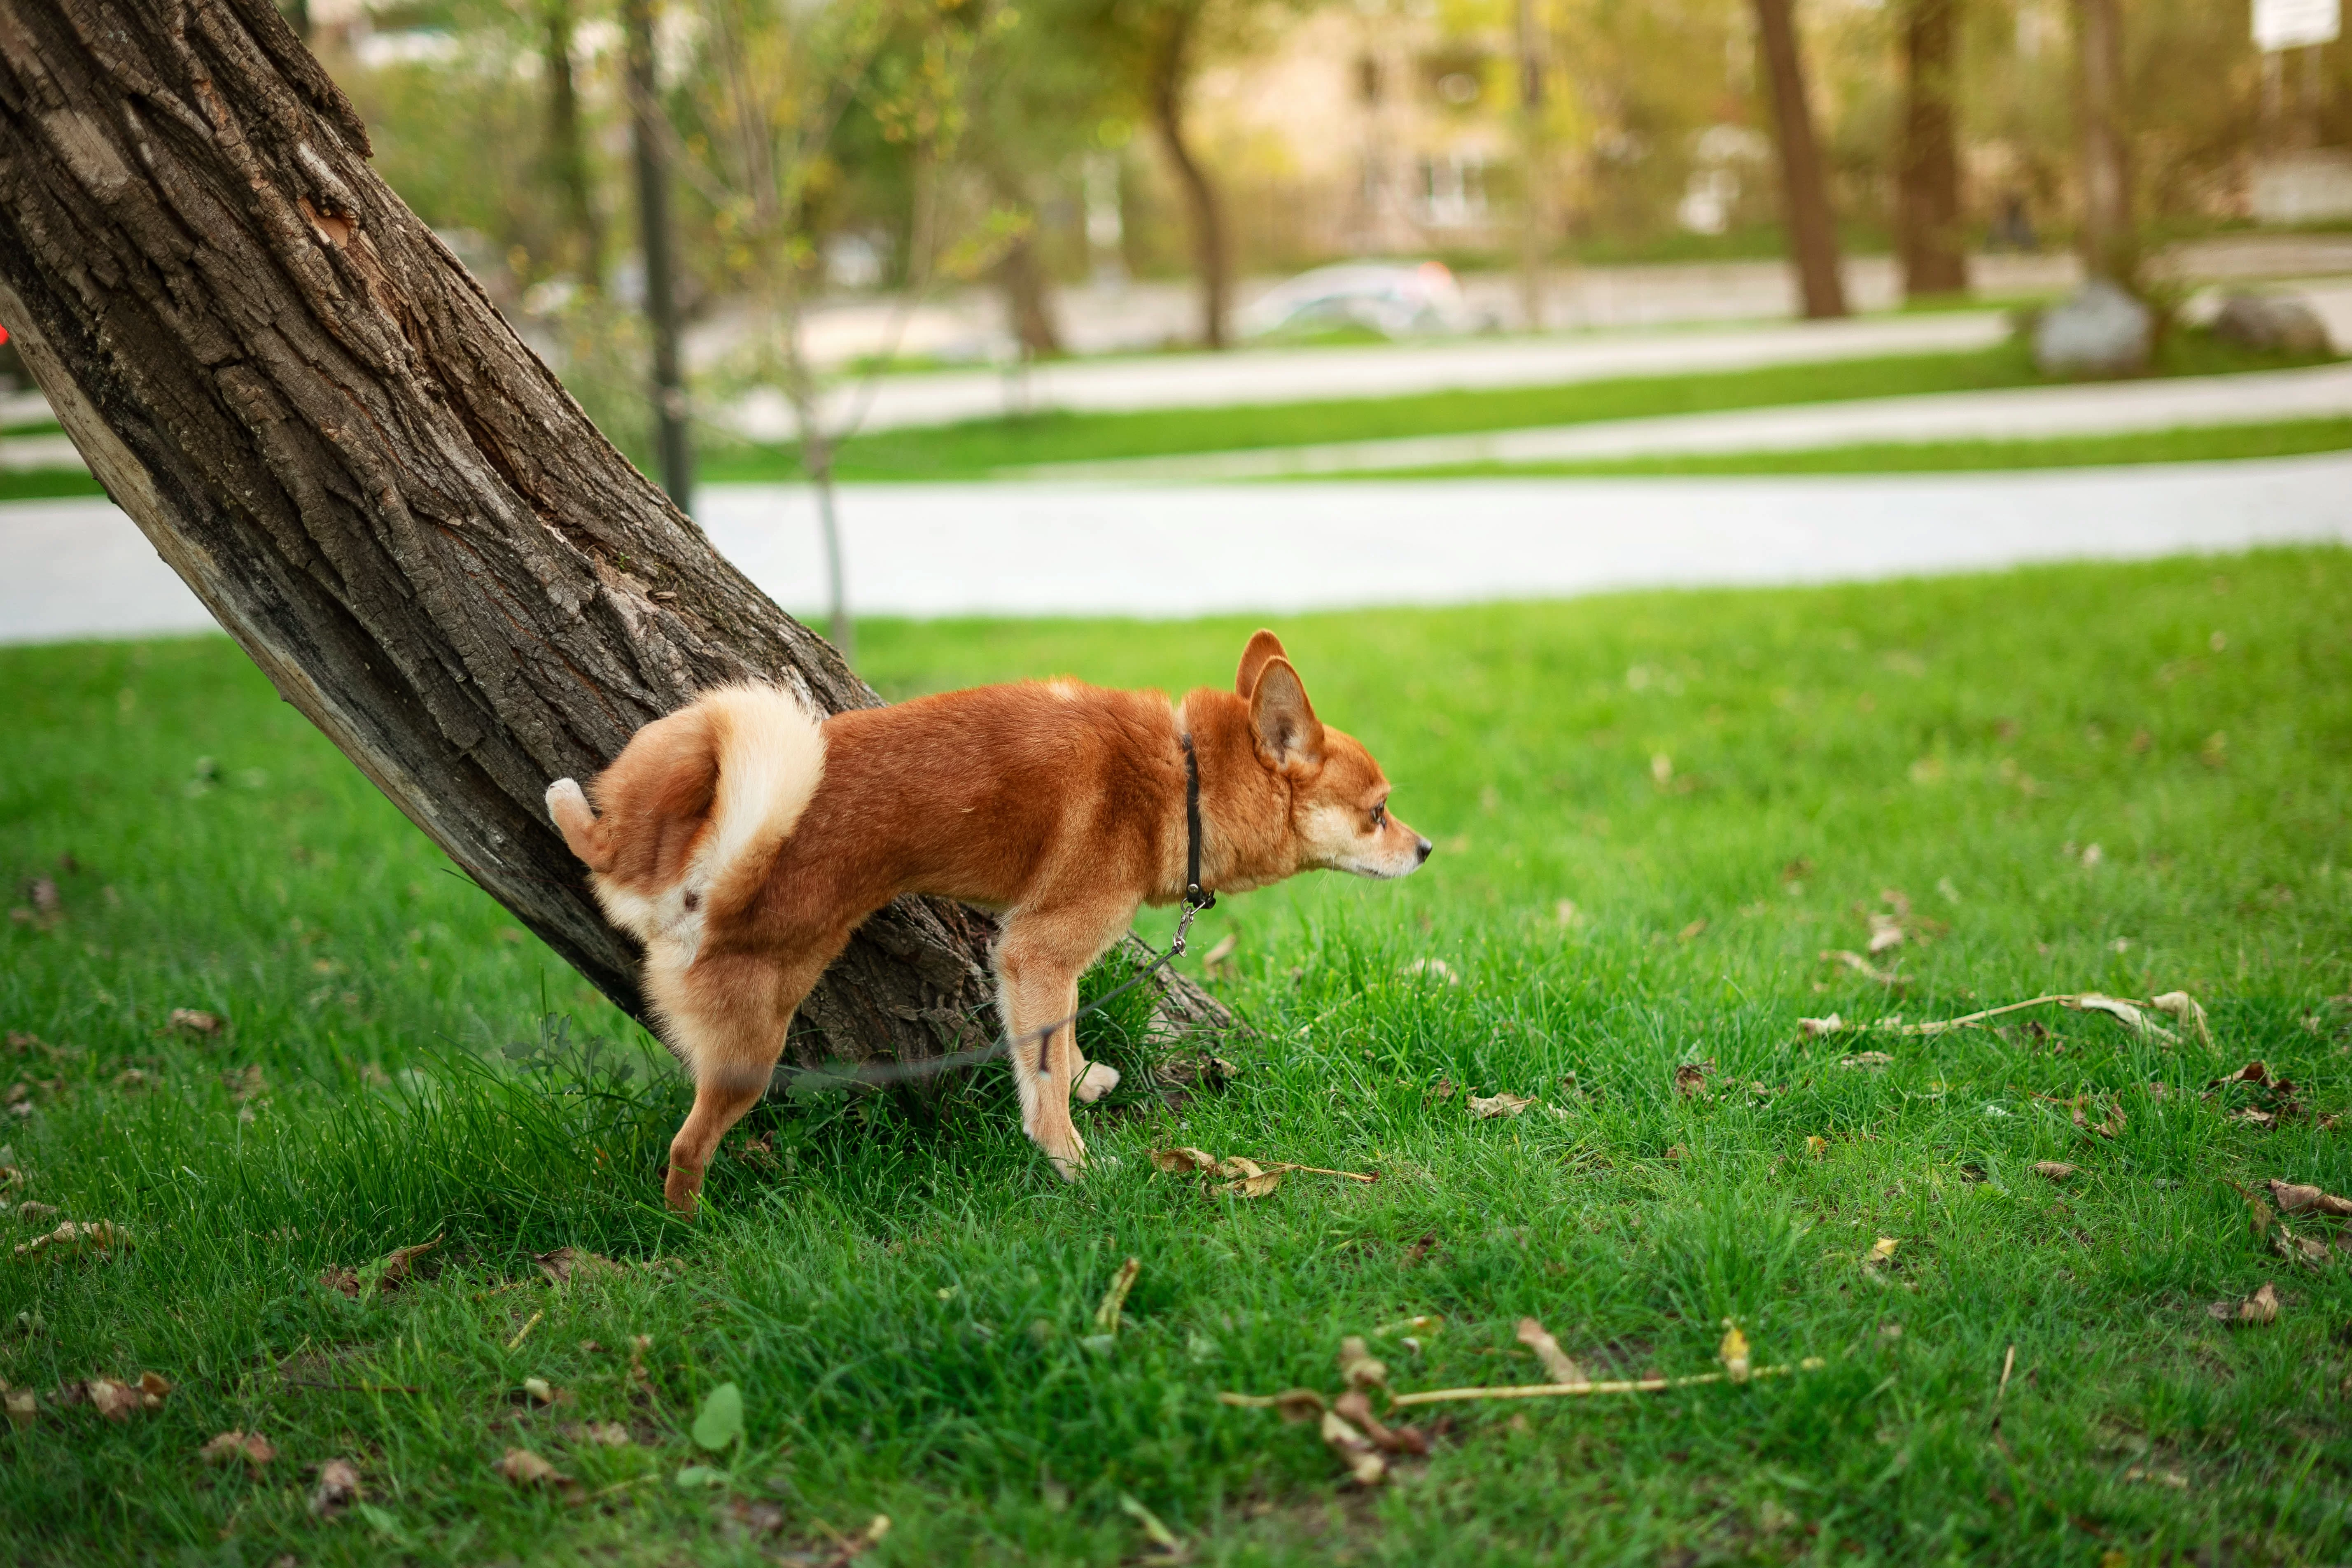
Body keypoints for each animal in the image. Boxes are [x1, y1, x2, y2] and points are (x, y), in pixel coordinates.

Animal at [546, 630, 1430, 1213]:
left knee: (609, 830)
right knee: (686, 1147)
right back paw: (689, 1222)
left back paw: (567, 806)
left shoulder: (1034, 966)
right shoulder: (1038, 951)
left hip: (692, 744)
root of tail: (693, 892)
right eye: (1378, 812)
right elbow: (1043, 1084)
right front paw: (1074, 1163)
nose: (1424, 848)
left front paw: (1087, 1075)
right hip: (749, 1051)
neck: (1179, 776)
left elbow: (1057, 1046)